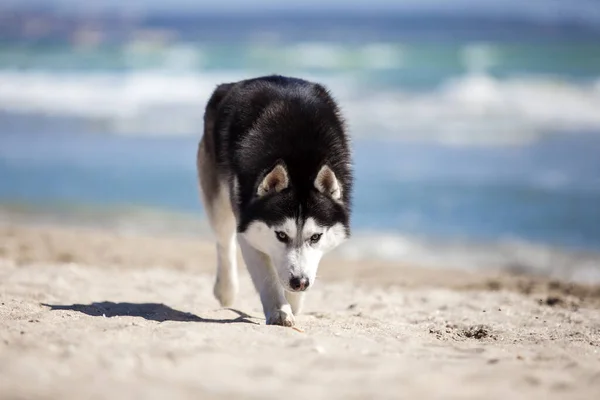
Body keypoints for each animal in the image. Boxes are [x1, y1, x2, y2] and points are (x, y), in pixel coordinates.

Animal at [197, 74, 354, 324]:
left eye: (316, 237)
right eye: (281, 234)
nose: (299, 283)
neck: (300, 162)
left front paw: (294, 302)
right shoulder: (248, 228)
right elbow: (268, 277)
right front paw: (280, 310)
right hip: (218, 198)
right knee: (224, 241)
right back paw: (226, 290)